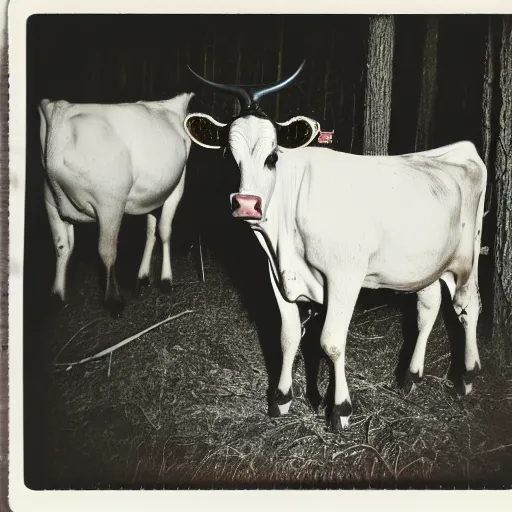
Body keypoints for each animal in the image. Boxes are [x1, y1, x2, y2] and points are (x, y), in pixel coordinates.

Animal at [39, 92, 195, 316]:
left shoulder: (110, 204)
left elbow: (108, 250)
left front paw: (115, 300)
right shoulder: (55, 204)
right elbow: (63, 248)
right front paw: (58, 295)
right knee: (145, 233)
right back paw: (141, 277)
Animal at [185, 63, 488, 432]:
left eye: (272, 156)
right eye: (229, 155)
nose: (246, 205)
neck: (282, 240)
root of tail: (460, 149)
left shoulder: (345, 275)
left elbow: (330, 341)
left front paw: (339, 409)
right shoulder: (277, 276)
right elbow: (287, 335)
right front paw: (281, 399)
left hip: (468, 256)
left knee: (468, 307)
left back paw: (467, 377)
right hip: (426, 264)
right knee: (428, 308)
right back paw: (411, 376)